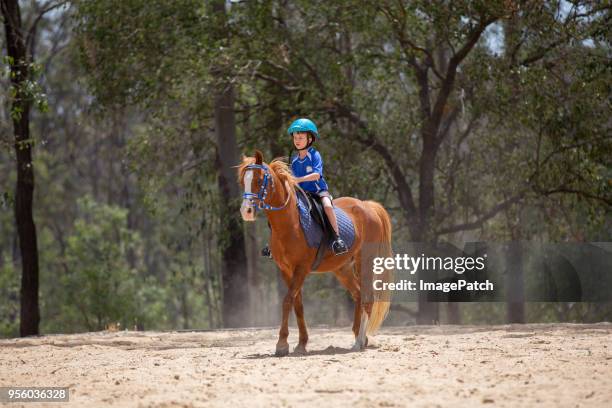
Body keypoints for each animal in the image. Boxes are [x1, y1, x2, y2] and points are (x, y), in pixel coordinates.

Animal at [237, 151, 390, 356]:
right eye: (242, 181)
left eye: (259, 179)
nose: (246, 211)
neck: (289, 224)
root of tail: (367, 205)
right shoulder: (286, 270)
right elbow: (298, 305)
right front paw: (301, 343)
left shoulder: (301, 268)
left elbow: (287, 301)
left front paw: (282, 344)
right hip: (342, 269)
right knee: (358, 294)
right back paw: (360, 337)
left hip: (364, 261)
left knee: (367, 297)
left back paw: (359, 342)